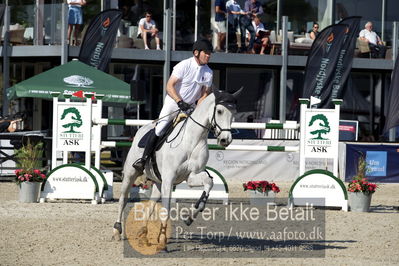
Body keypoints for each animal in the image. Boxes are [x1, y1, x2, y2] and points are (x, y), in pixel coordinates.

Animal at [114, 88, 242, 250]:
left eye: (234, 113)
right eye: (219, 111)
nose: (226, 140)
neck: (191, 139)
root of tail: (142, 128)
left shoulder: (191, 176)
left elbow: (209, 182)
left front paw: (191, 215)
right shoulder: (169, 179)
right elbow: (166, 208)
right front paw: (162, 240)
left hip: (158, 182)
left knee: (150, 205)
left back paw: (143, 234)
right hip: (131, 174)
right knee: (123, 199)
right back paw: (117, 230)